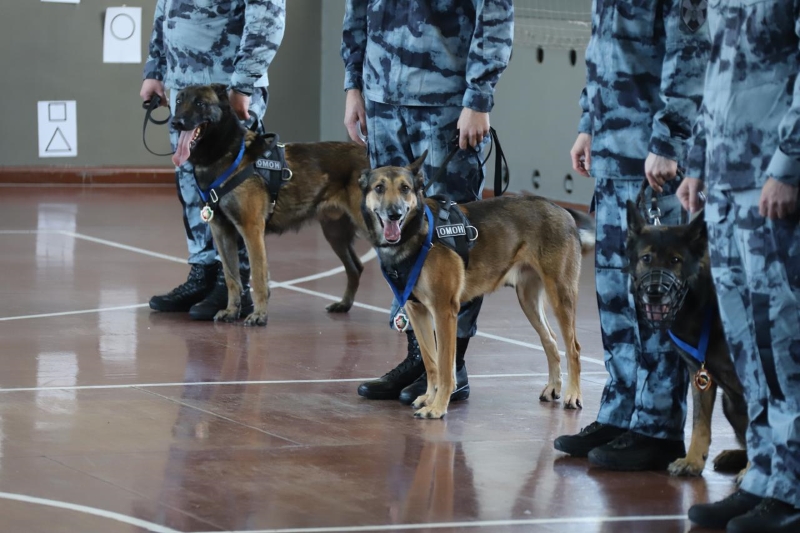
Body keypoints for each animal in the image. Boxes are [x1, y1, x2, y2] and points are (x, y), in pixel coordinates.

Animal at [170, 84, 370, 324]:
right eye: (179, 101)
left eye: (200, 103)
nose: (176, 122)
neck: (227, 153)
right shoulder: (222, 232)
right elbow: (231, 277)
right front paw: (232, 310)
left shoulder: (251, 229)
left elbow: (257, 276)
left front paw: (259, 315)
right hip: (335, 235)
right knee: (355, 268)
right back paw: (344, 304)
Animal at [360, 152, 596, 418]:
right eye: (379, 188)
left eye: (405, 188)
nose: (395, 214)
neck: (417, 233)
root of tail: (562, 210)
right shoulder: (416, 310)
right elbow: (431, 363)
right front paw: (429, 398)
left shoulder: (444, 312)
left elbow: (444, 366)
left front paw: (438, 407)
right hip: (528, 301)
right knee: (551, 341)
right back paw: (554, 387)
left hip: (560, 296)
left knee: (574, 348)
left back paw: (573, 394)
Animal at [624, 200, 752, 482]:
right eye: (646, 258)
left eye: (675, 260)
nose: (655, 292)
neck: (704, 305)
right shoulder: (699, 377)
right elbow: (699, 424)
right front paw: (692, 460)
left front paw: (752, 474)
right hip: (730, 404)